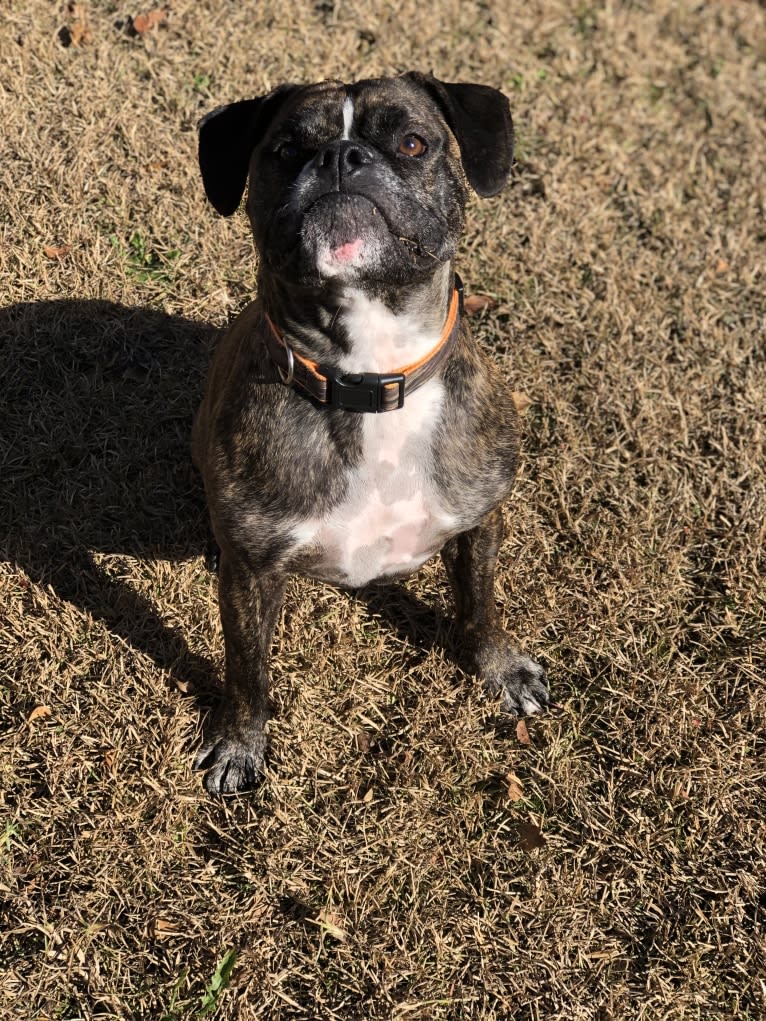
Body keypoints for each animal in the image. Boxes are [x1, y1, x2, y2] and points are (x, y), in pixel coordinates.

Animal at [193, 71, 551, 792]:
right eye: (286, 151)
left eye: (412, 142)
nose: (340, 157)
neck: (370, 375)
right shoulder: (251, 576)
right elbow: (247, 667)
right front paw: (238, 741)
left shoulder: (479, 523)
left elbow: (481, 604)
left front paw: (499, 669)